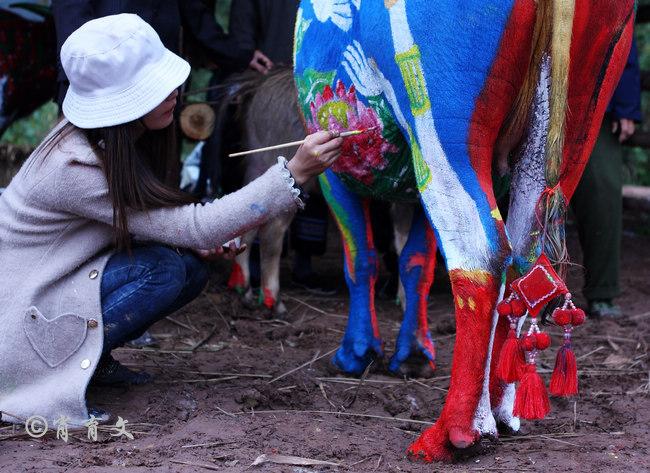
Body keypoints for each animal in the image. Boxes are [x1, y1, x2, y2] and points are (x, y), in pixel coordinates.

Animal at [294, 0, 632, 462]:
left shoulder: (333, 167)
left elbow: (360, 260)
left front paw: (358, 354)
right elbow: (416, 262)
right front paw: (414, 355)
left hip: (445, 124)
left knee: (481, 254)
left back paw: (450, 435)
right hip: (575, 124)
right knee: (525, 261)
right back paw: (499, 415)